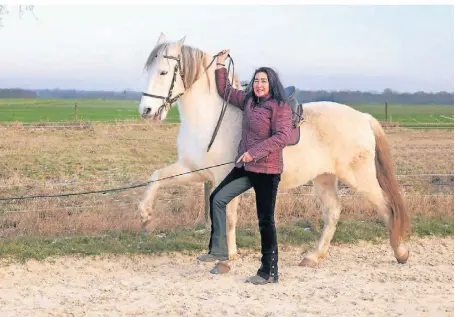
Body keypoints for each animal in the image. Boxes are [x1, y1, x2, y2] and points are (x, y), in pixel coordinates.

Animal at [137, 33, 412, 268]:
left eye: (163, 71)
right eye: (148, 70)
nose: (146, 110)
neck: (212, 117)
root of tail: (364, 118)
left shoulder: (224, 177)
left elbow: (229, 217)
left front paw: (228, 257)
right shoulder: (194, 170)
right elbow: (156, 177)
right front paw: (145, 214)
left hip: (360, 179)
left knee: (387, 208)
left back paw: (400, 252)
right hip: (324, 178)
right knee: (333, 212)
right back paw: (314, 256)